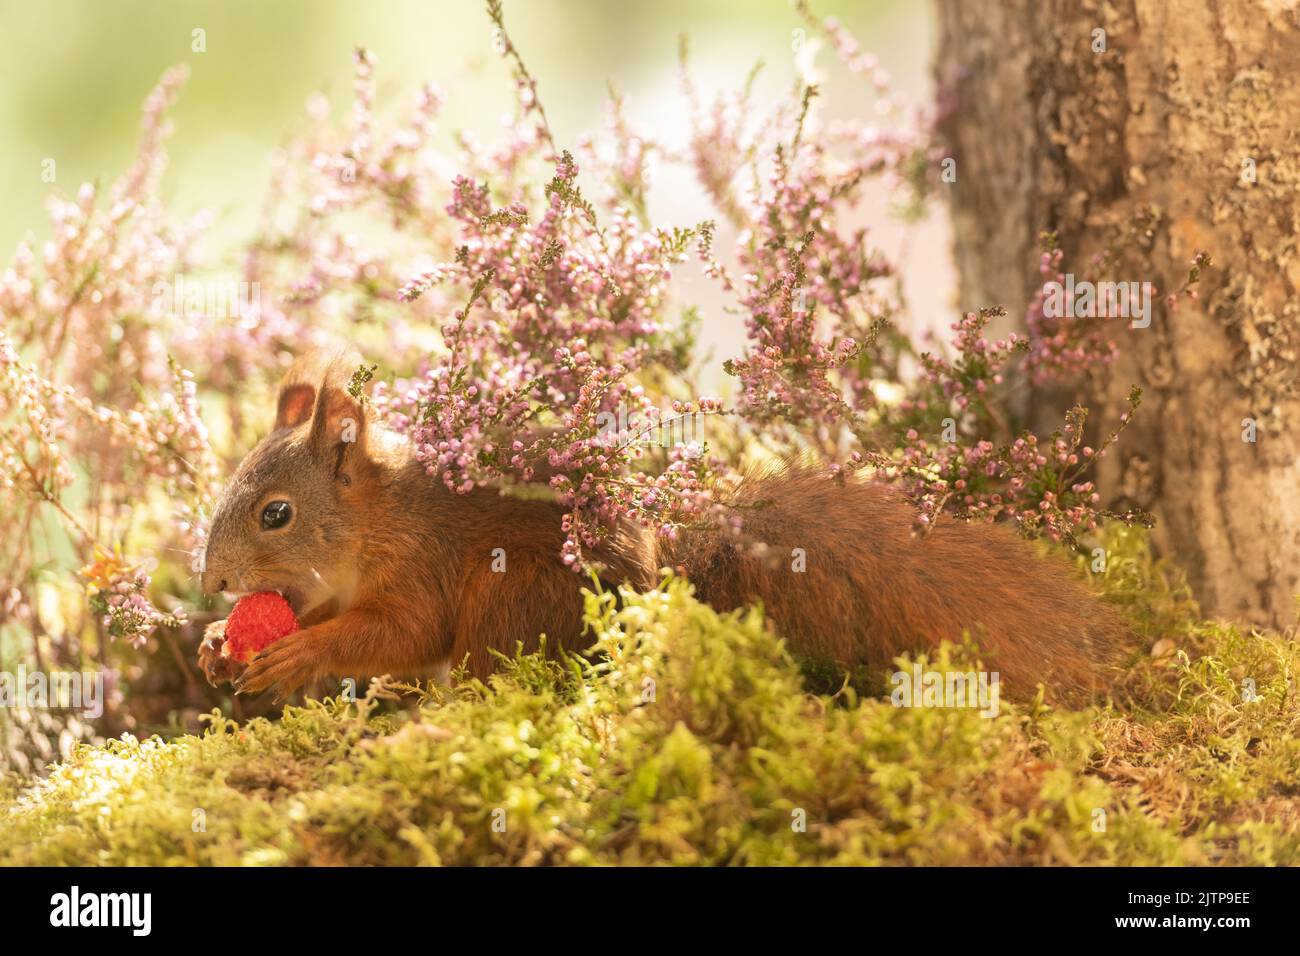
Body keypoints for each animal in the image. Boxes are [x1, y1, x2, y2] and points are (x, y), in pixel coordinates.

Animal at [198, 352, 1130, 700]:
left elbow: (398, 630)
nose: (210, 582)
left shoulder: (424, 562)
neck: (372, 528)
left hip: (515, 593)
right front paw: (217, 642)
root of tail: (656, 585)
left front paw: (299, 656)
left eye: (276, 513)